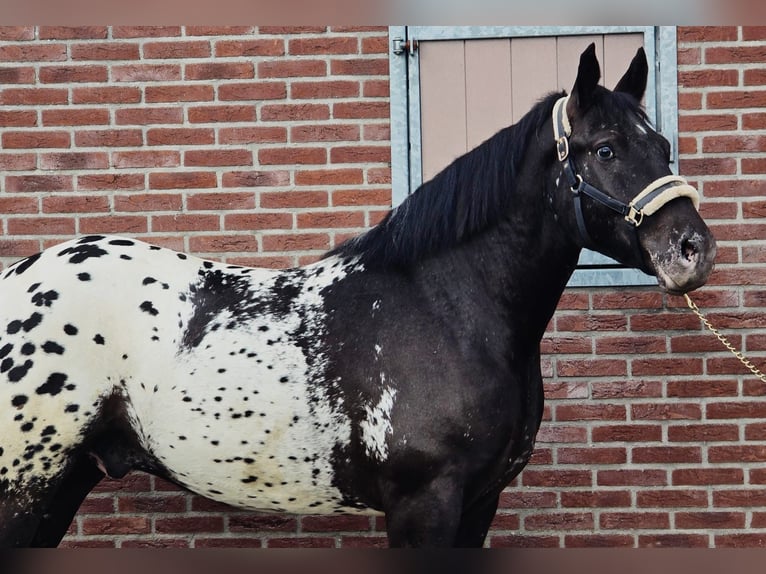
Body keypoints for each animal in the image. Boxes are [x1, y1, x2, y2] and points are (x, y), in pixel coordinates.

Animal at [0, 43, 715, 548]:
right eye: (605, 149)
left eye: (662, 144)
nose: (692, 249)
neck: (447, 313)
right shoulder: (425, 504)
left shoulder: (479, 502)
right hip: (24, 487)